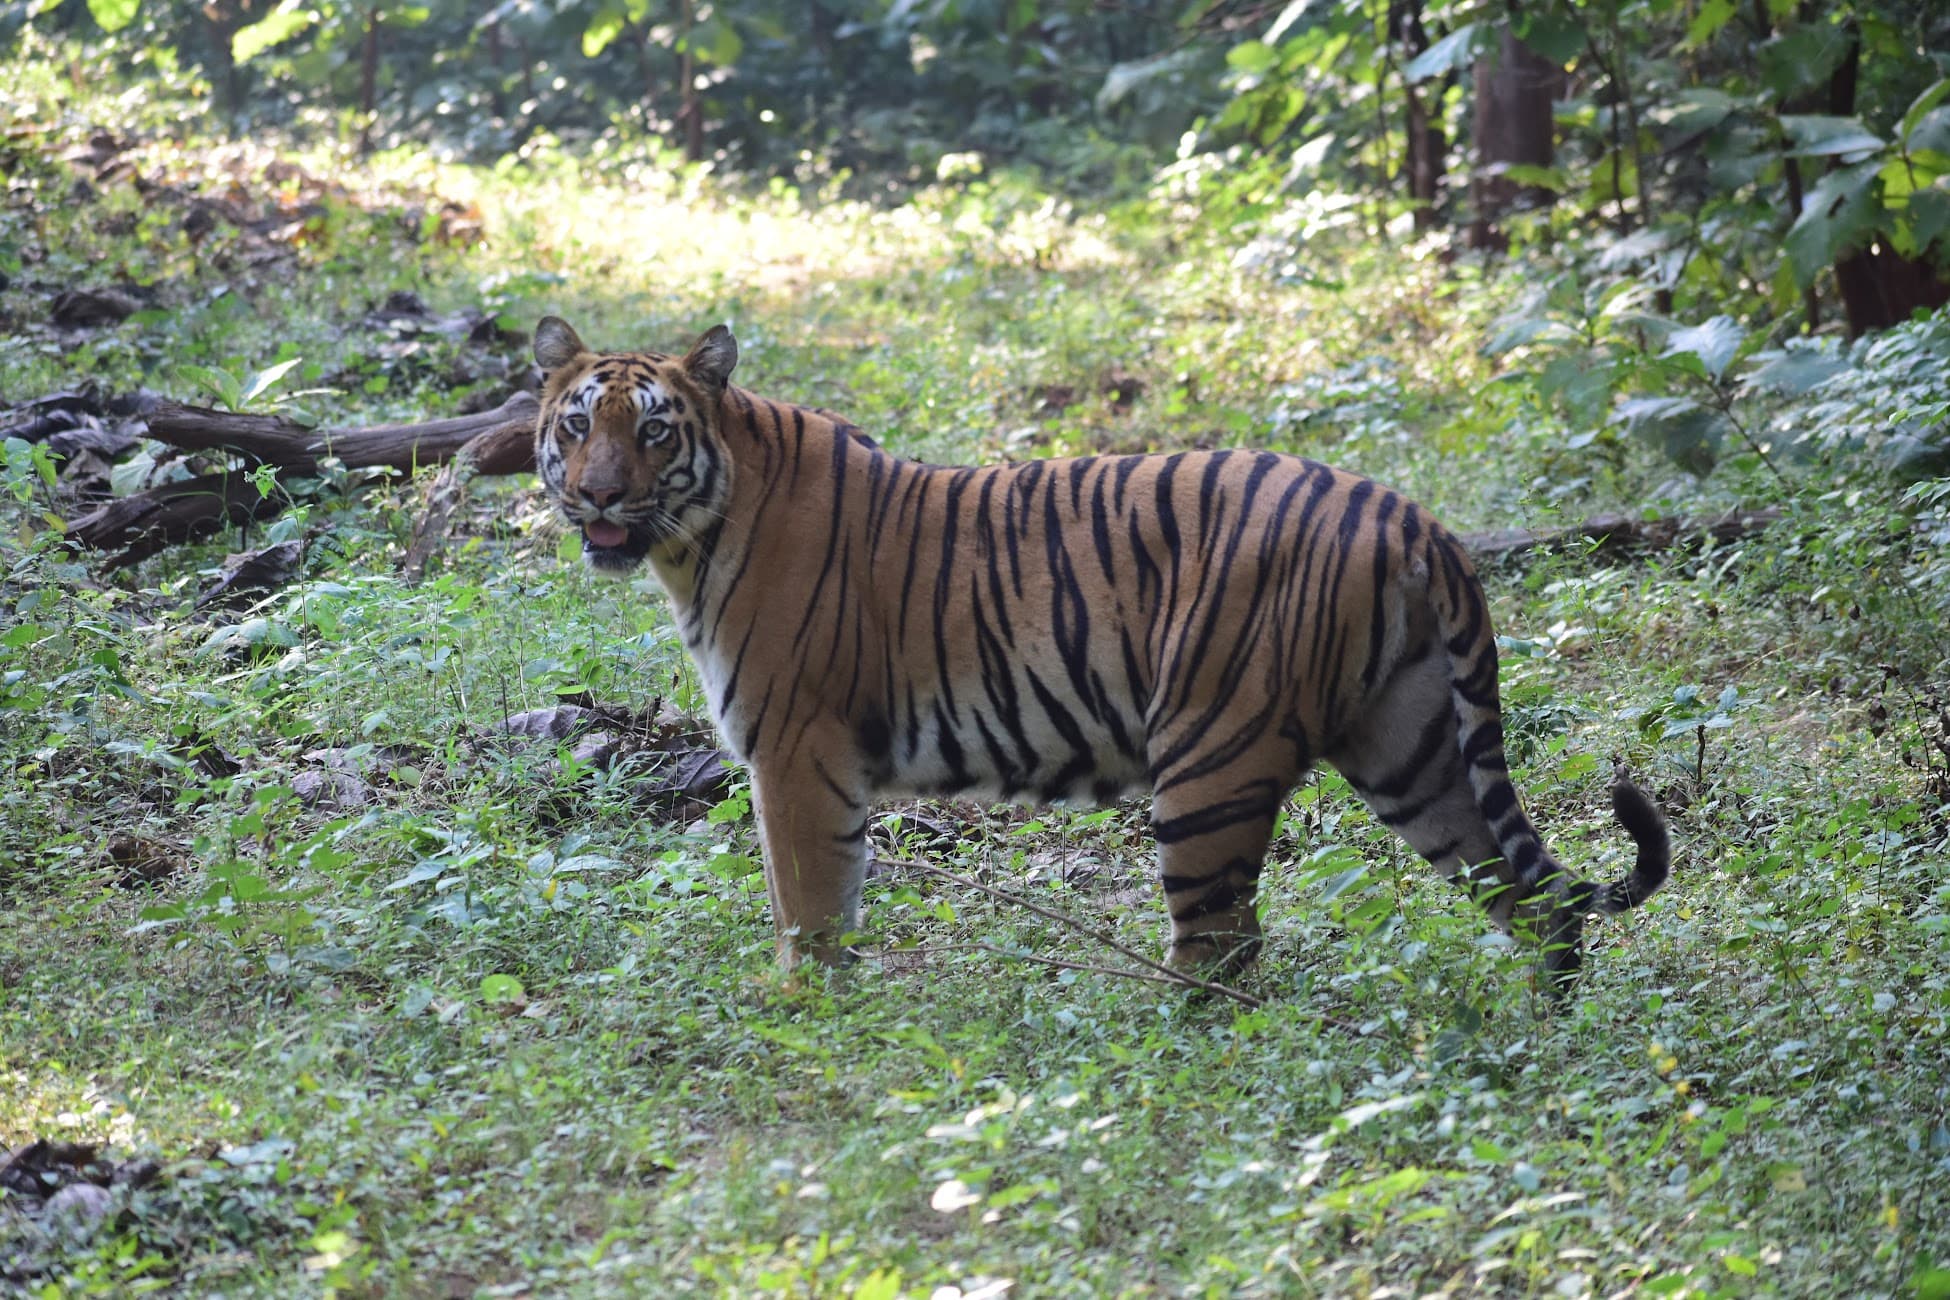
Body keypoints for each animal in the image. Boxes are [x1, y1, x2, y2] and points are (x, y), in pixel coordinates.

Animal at [531, 316, 1671, 996]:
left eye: (654, 432)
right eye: (579, 424)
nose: (595, 495)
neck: (693, 536)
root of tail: (1409, 514)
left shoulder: (796, 752)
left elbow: (806, 909)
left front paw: (800, 1017)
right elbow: (835, 902)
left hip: (1211, 757)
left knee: (1226, 950)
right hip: (1415, 744)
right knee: (1536, 900)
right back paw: (1542, 1034)